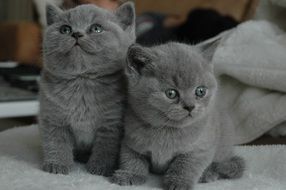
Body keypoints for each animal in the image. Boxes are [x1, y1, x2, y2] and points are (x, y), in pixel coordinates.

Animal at [38, 1, 136, 177]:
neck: (82, 81)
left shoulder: (111, 124)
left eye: (96, 28)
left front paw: (100, 168)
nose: (76, 34)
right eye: (65, 29)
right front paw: (57, 165)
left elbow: (106, 147)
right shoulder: (53, 118)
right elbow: (56, 142)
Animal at [110, 42, 245, 189]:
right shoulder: (130, 142)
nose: (190, 106)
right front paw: (130, 175)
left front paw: (179, 183)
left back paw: (208, 174)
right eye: (171, 93)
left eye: (200, 91)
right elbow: (131, 159)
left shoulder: (201, 148)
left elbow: (185, 166)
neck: (167, 130)